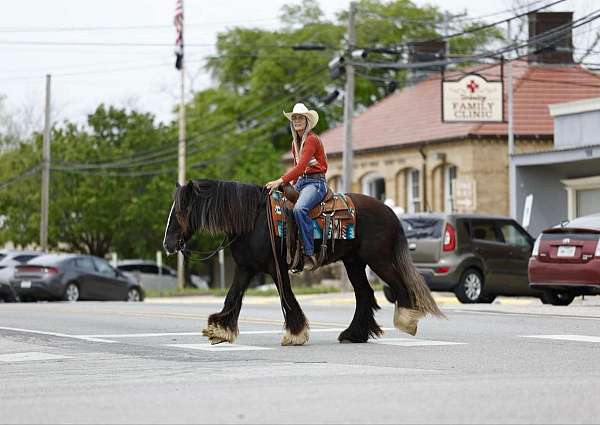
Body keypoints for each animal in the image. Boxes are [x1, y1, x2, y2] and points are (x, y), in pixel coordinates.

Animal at [162, 178, 442, 344]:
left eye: (180, 212)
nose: (167, 244)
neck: (254, 220)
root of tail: (388, 211)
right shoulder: (246, 268)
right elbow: (233, 296)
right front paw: (219, 329)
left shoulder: (276, 268)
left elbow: (286, 296)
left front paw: (295, 332)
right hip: (354, 262)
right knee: (364, 294)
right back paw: (354, 334)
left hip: (378, 259)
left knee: (398, 286)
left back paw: (406, 320)